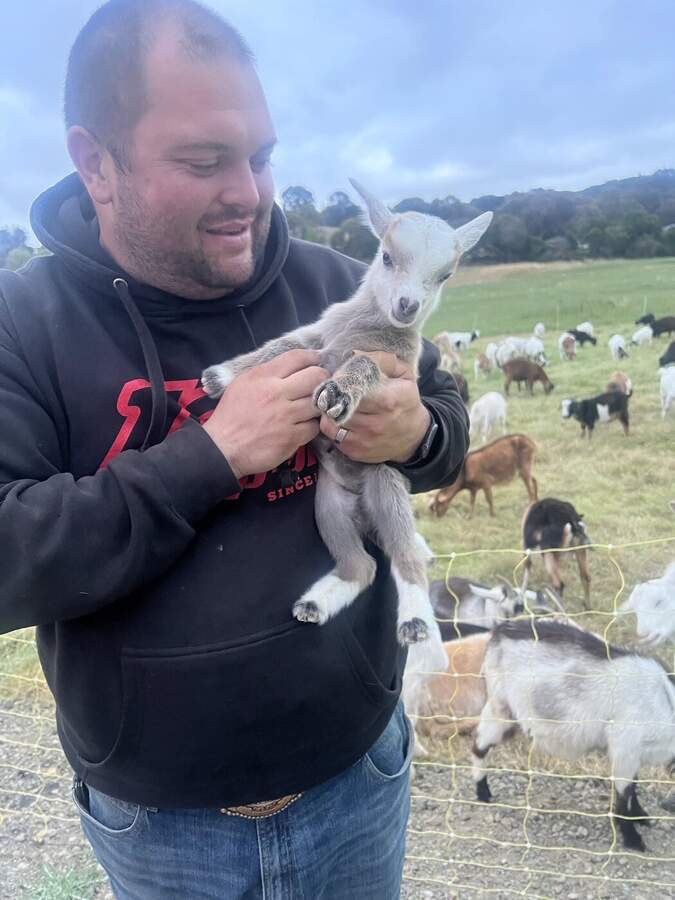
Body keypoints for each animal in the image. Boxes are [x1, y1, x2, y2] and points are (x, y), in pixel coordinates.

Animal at [202, 179, 492, 644]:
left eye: (444, 276)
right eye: (387, 256)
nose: (407, 305)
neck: (367, 326)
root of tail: (364, 513)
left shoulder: (393, 369)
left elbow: (365, 367)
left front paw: (339, 392)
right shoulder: (319, 334)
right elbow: (283, 345)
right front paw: (221, 376)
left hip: (387, 486)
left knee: (405, 558)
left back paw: (413, 621)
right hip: (329, 507)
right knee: (363, 566)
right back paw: (314, 605)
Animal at [471, 619, 675, 851]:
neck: (666, 702)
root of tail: (500, 631)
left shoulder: (634, 754)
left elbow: (633, 786)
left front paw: (640, 817)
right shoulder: (625, 749)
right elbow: (624, 794)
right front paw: (633, 838)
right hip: (501, 710)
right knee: (479, 745)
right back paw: (483, 792)